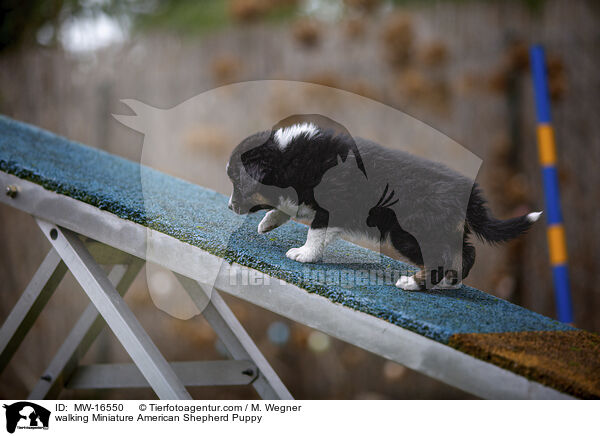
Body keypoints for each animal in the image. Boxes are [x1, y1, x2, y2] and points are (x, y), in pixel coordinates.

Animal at [226, 121, 544, 290]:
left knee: (443, 258)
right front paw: (268, 223)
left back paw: (414, 283)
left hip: (408, 234)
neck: (289, 157)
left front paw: (303, 254)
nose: (229, 207)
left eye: (236, 182)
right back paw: (447, 283)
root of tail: (467, 194)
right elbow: (287, 207)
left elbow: (315, 232)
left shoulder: (332, 207)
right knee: (466, 253)